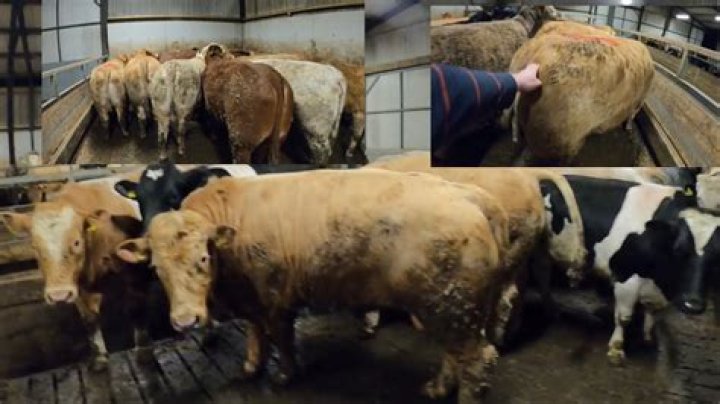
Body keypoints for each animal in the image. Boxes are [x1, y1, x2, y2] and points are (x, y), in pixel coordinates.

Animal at [0, 174, 165, 371]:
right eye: (34, 246)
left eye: (77, 242)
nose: (58, 295)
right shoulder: (77, 287)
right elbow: (89, 320)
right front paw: (100, 359)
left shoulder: (135, 276)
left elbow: (136, 310)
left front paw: (144, 353)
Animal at [116, 169, 511, 402]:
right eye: (156, 268)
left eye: (203, 258)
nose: (185, 321)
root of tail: (473, 195)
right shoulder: (251, 297)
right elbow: (255, 331)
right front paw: (251, 366)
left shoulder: (274, 295)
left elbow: (280, 337)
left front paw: (284, 374)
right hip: (454, 308)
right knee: (457, 354)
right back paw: (437, 387)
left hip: (451, 306)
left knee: (476, 361)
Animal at [544, 175, 719, 364]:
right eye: (678, 249)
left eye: (717, 258)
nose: (692, 305)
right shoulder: (625, 277)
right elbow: (624, 317)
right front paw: (616, 349)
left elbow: (652, 311)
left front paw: (648, 337)